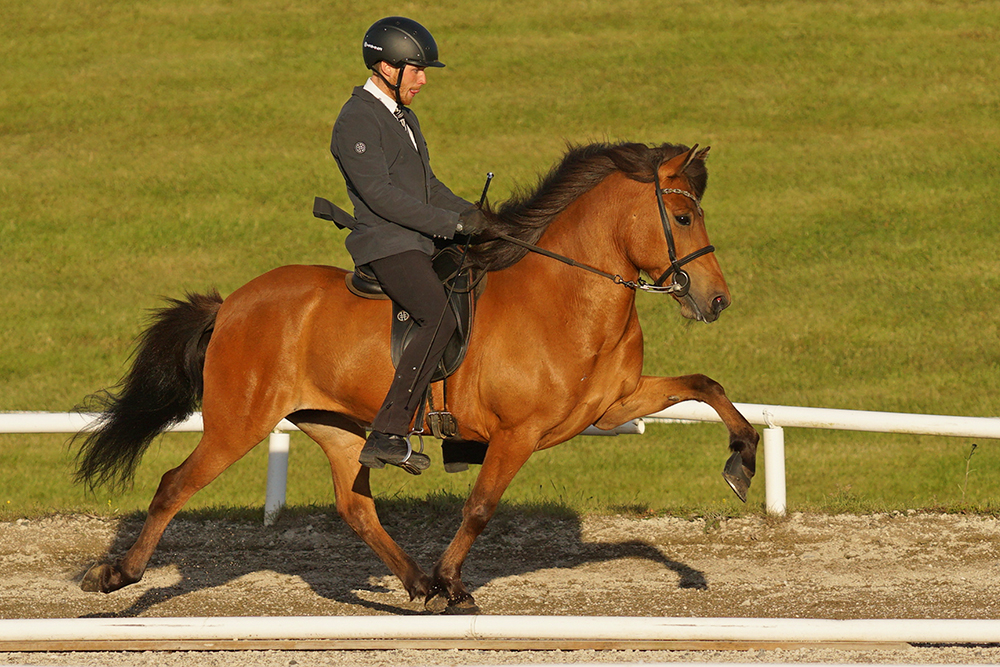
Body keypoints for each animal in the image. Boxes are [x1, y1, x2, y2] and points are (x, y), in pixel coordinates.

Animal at [76, 141, 756, 612]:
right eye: (685, 220)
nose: (717, 300)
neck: (567, 294)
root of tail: (233, 303)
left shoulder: (611, 406)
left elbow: (707, 385)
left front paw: (741, 461)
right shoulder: (517, 433)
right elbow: (480, 507)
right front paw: (456, 583)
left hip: (336, 424)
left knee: (355, 506)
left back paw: (418, 582)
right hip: (237, 423)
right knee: (174, 485)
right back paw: (116, 576)